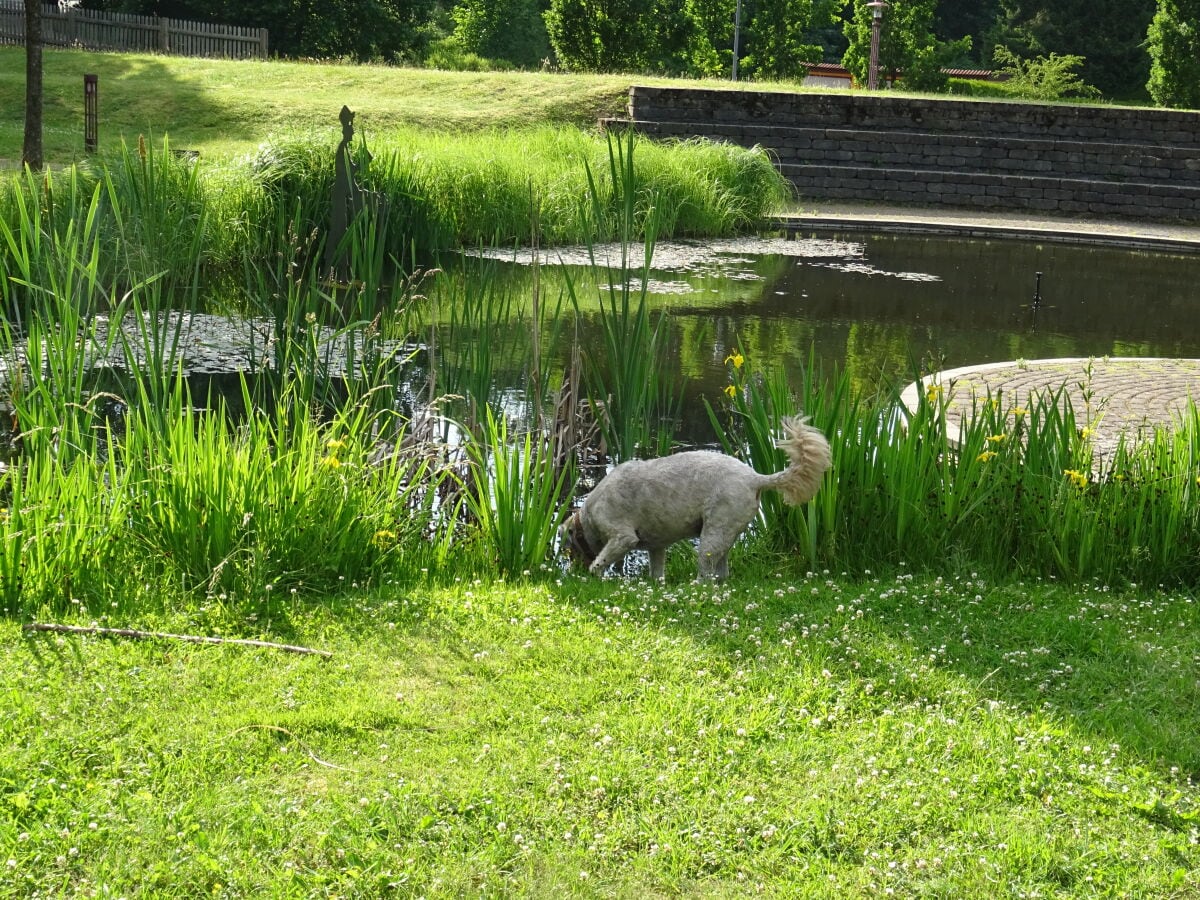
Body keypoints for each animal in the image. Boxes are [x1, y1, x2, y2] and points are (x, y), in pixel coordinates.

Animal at [564, 420, 835, 580]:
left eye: (569, 548)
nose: (573, 570)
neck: (588, 515)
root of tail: (754, 478)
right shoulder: (656, 546)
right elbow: (657, 571)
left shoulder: (622, 538)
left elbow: (600, 562)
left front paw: (593, 576)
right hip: (725, 533)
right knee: (721, 572)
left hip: (711, 537)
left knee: (706, 575)